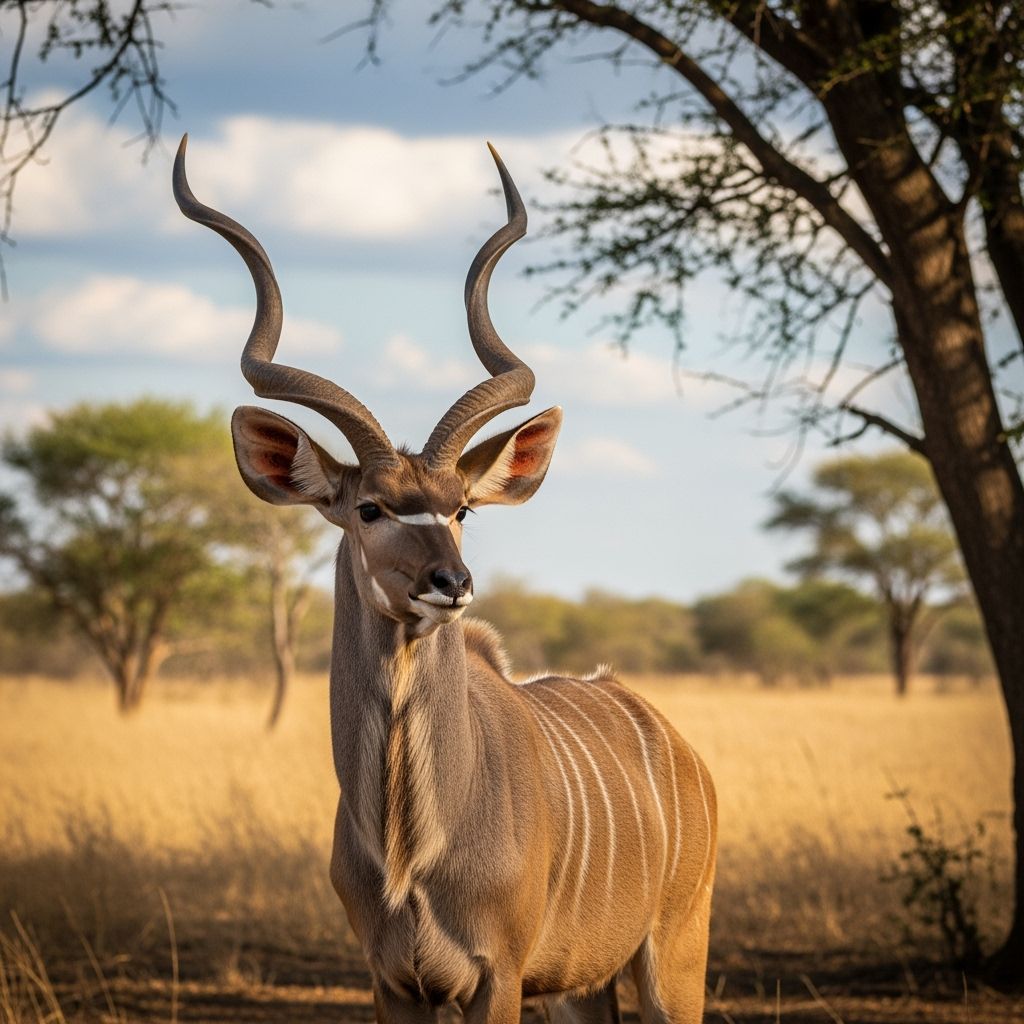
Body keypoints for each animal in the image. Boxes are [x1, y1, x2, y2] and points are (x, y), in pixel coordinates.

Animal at [172, 135, 716, 1024]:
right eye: (368, 508)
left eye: (463, 507)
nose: (450, 582)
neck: (411, 853)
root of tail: (681, 749)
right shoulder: (394, 981)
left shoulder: (499, 975)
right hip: (582, 986)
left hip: (673, 955)